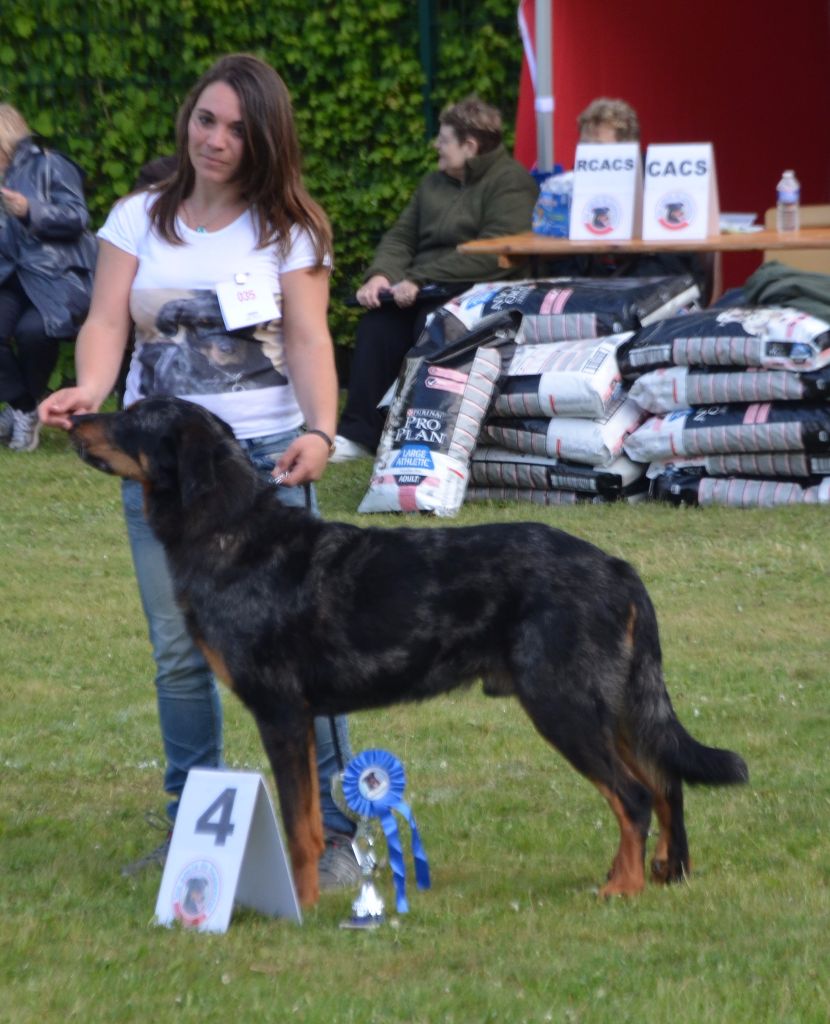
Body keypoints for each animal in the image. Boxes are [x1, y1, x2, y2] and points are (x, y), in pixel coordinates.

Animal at [68, 395, 749, 909]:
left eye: (133, 418)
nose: (72, 417)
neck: (228, 534)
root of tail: (617, 567)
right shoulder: (302, 717)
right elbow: (310, 820)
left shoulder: (280, 713)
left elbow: (297, 827)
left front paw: (302, 906)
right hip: (615, 704)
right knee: (665, 782)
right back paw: (669, 872)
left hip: (565, 704)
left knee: (633, 795)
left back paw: (623, 887)